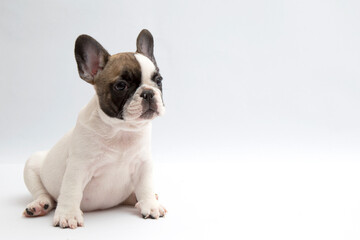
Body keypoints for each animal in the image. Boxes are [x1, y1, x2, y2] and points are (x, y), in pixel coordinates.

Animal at [23, 29, 167, 228]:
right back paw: (38, 205)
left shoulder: (143, 163)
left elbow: (145, 185)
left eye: (159, 80)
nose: (148, 93)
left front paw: (150, 204)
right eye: (121, 86)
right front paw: (68, 214)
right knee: (44, 193)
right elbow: (71, 190)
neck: (121, 131)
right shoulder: (78, 167)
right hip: (32, 165)